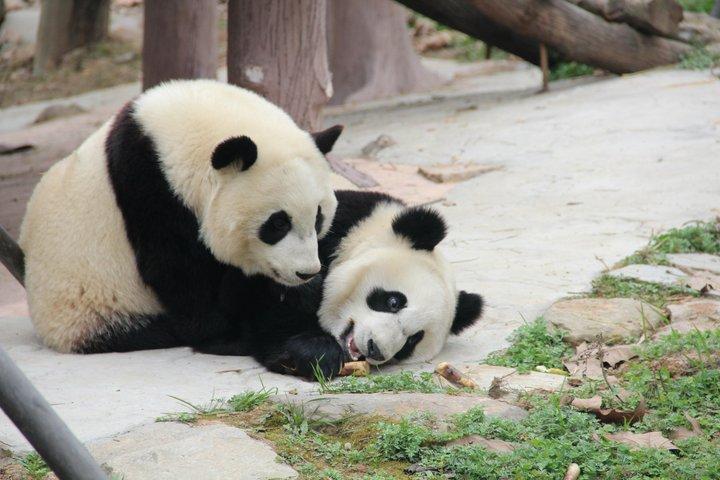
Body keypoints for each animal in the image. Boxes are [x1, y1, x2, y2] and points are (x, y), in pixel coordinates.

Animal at [19, 79, 342, 354]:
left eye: (318, 218)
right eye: (277, 223)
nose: (306, 272)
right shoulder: (149, 188)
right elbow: (176, 272)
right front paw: (223, 326)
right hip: (91, 307)